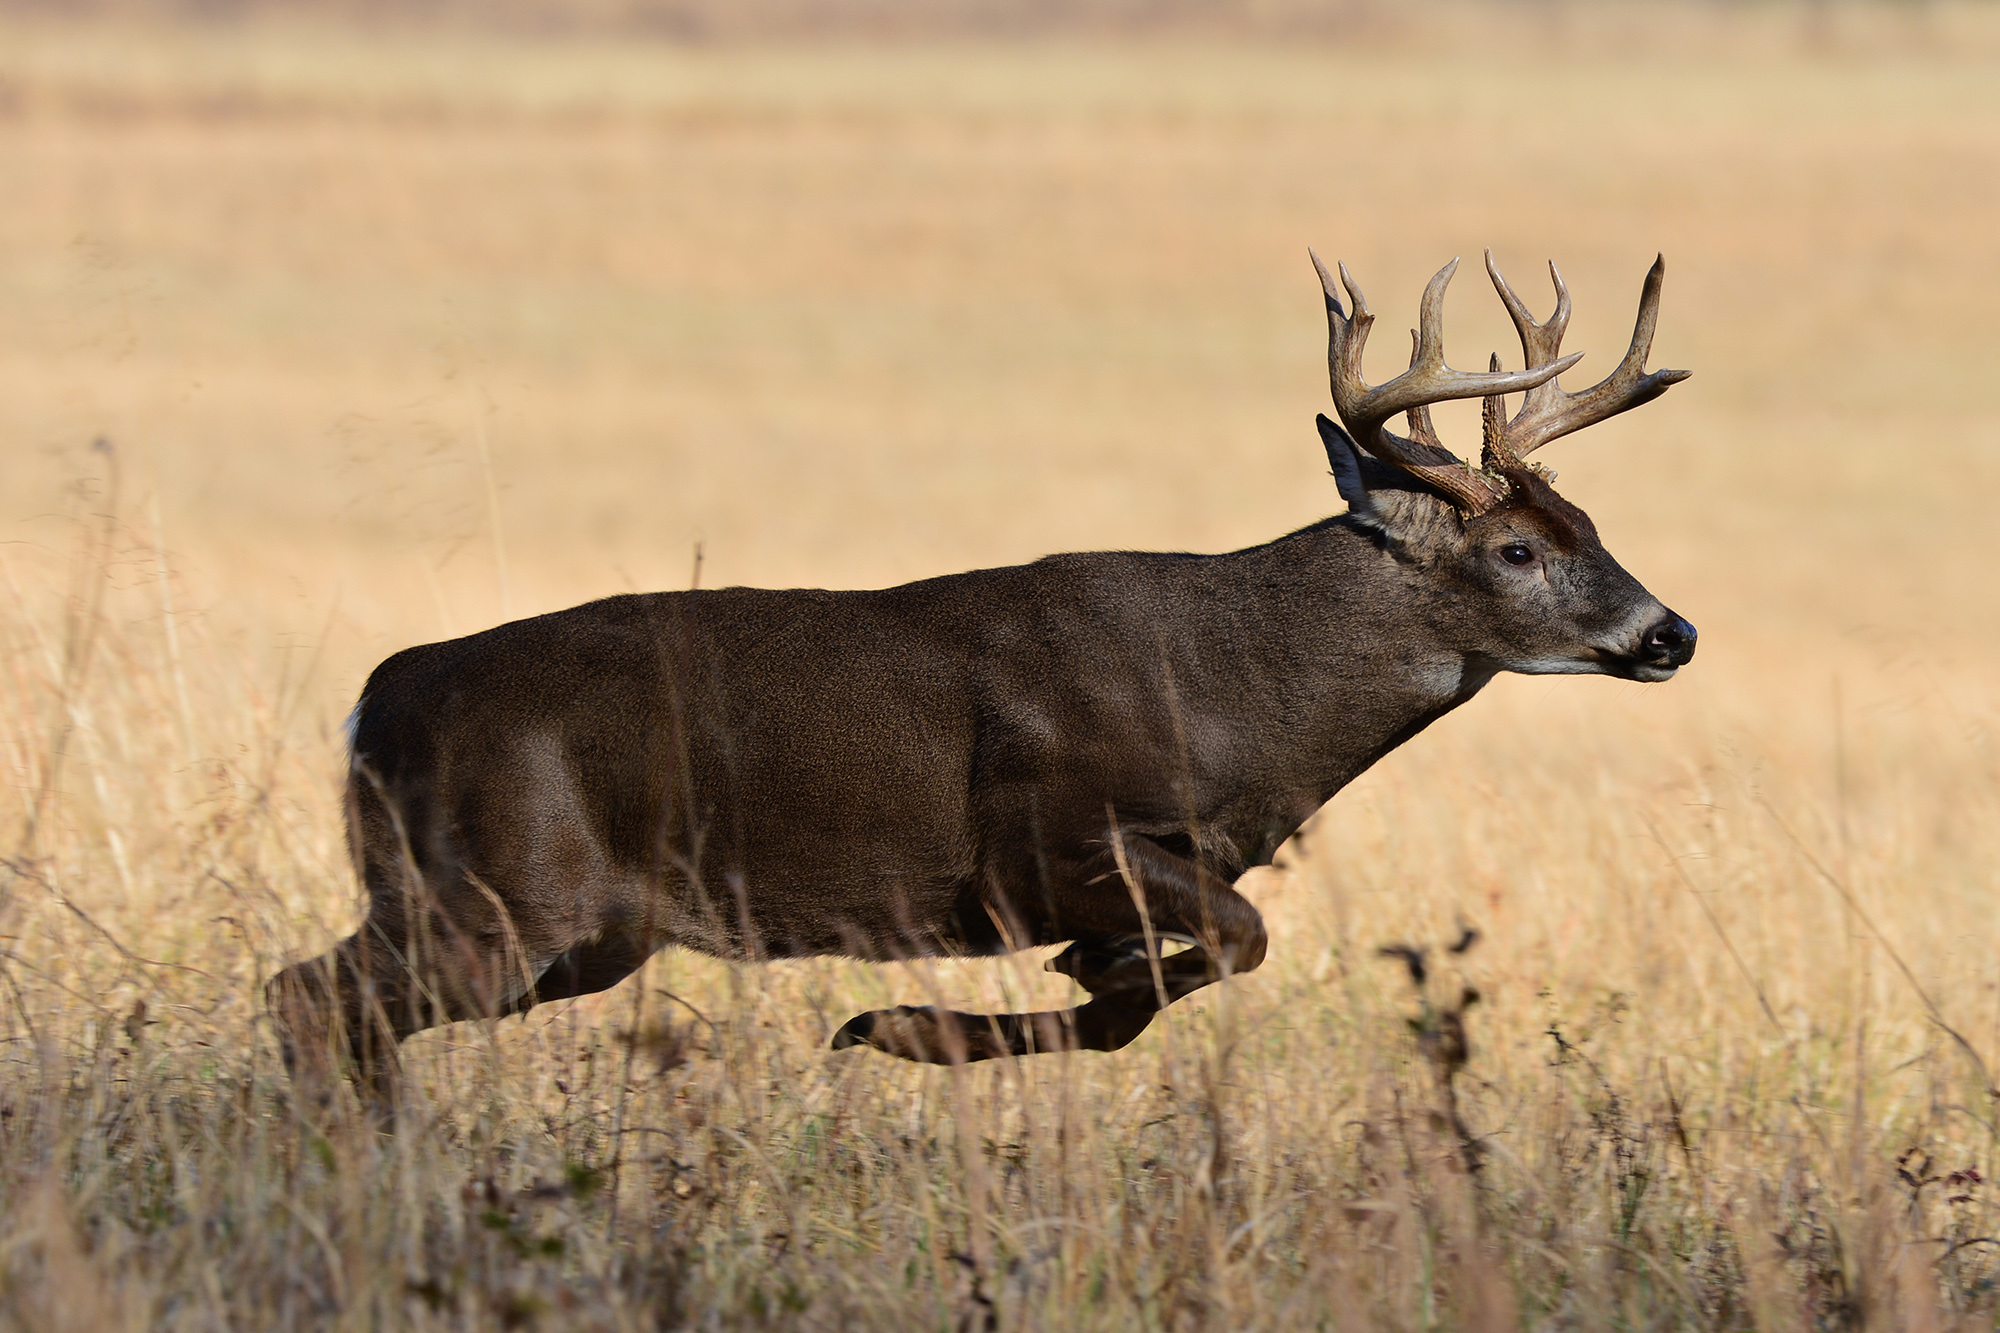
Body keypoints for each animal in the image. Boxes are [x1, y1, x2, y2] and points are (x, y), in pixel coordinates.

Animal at [274, 246, 1696, 1112]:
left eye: (1587, 518)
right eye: (1514, 548)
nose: (1667, 632)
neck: (1233, 698)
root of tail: (371, 702)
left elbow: (1159, 983)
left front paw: (956, 1013)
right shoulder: (1040, 841)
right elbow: (1236, 939)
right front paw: (900, 1025)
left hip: (568, 931)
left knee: (330, 1002)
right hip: (503, 893)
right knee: (308, 997)